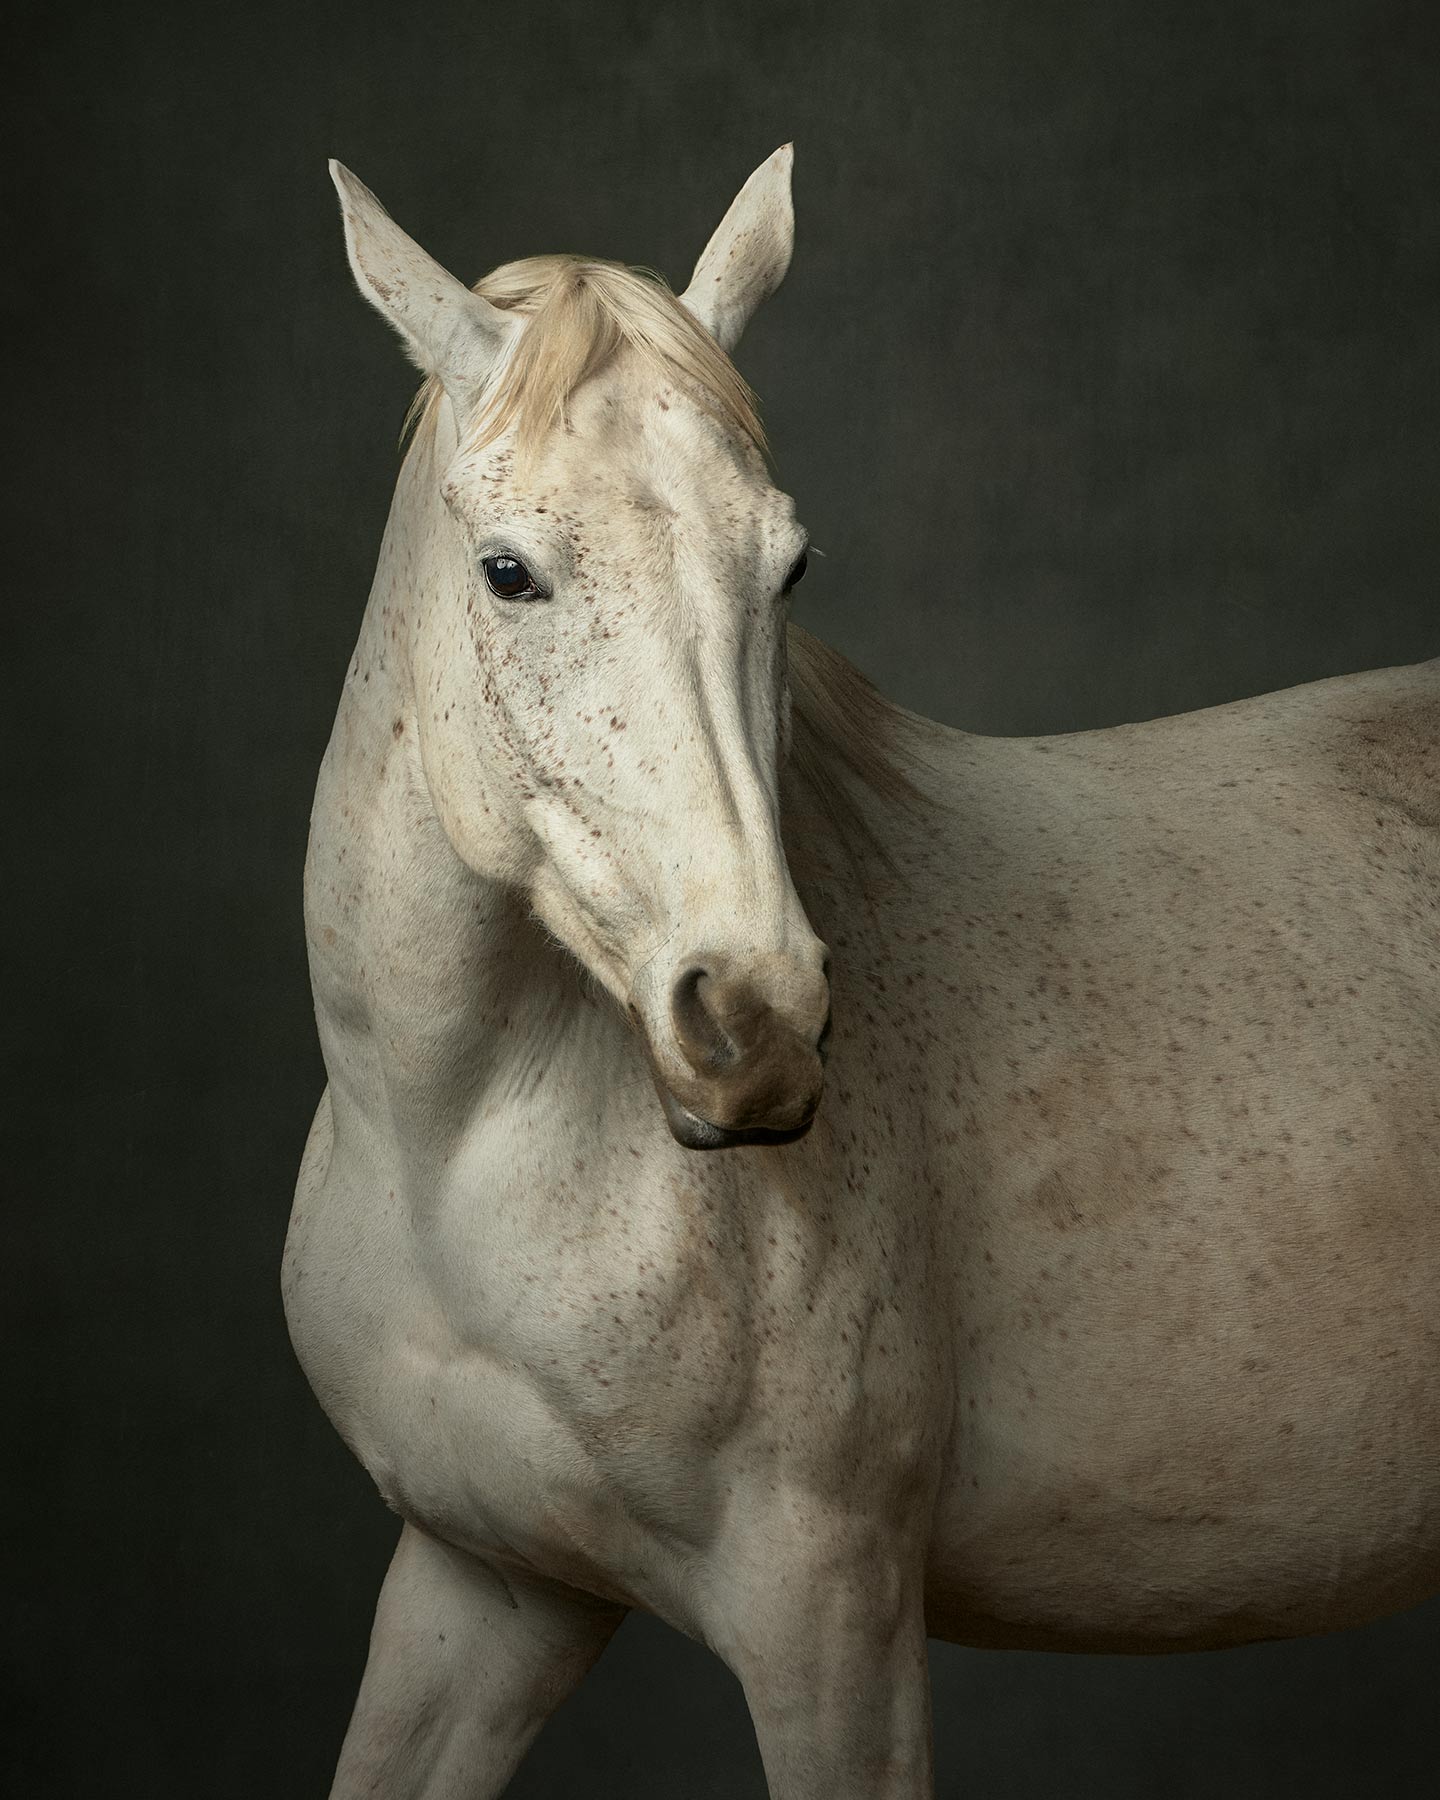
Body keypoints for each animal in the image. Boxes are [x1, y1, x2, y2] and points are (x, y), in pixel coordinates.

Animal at [284, 146, 1440, 1798]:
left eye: (791, 564)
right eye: (509, 574)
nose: (756, 1023)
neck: (458, 1138)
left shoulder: (830, 1621)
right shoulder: (485, 1585)